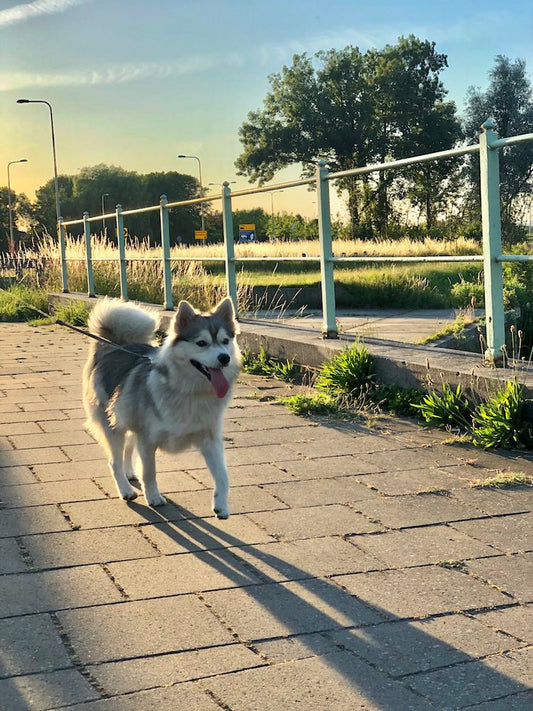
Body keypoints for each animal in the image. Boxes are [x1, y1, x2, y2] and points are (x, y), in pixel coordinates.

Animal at [82, 294, 240, 516]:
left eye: (225, 341)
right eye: (201, 343)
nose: (224, 358)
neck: (188, 391)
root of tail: (112, 346)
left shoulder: (210, 439)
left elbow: (223, 475)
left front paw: (221, 505)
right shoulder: (148, 438)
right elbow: (149, 472)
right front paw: (153, 497)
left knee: (128, 448)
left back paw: (129, 472)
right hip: (112, 426)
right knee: (114, 461)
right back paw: (125, 489)